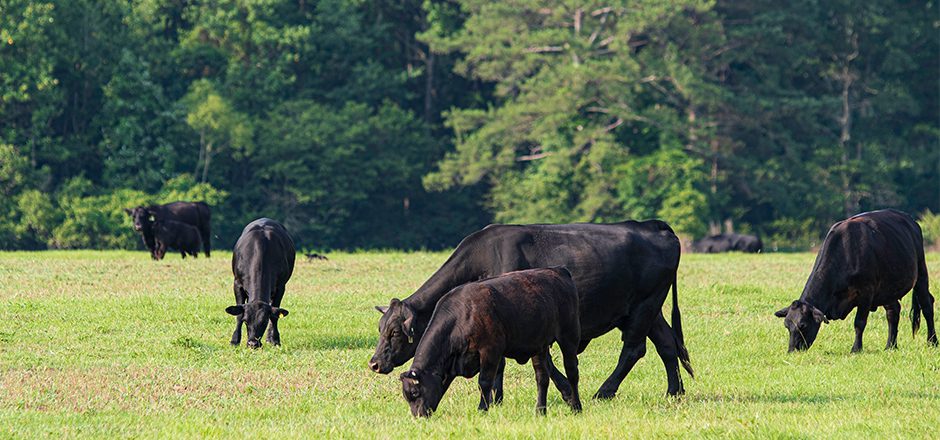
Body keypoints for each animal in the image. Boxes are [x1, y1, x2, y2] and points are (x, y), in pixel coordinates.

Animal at [226, 218, 296, 348]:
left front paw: (275, 340)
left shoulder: (281, 287)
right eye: (246, 321)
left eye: (264, 322)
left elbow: (274, 315)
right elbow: (238, 314)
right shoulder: (237, 283)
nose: (253, 343)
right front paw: (234, 340)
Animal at [372, 219, 692, 398]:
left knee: (634, 349)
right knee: (666, 344)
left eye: (394, 333)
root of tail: (652, 225)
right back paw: (674, 392)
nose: (373, 363)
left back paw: (604, 391)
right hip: (648, 309)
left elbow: (513, 363)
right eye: (380, 329)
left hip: (644, 306)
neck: (486, 259)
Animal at [402, 266, 584, 418]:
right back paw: (540, 410)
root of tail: (558, 270)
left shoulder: (490, 350)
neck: (464, 314)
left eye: (415, 392)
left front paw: (482, 409)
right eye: (407, 396)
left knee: (572, 371)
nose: (418, 416)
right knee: (542, 377)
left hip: (569, 336)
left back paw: (576, 407)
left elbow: (484, 382)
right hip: (539, 346)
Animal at [776, 208, 936, 352]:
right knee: (893, 312)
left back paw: (932, 342)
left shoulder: (866, 292)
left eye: (802, 325)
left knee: (927, 305)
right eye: (786, 325)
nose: (792, 350)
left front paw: (856, 348)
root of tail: (910, 220)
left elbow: (859, 322)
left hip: (921, 272)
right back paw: (890, 346)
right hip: (888, 288)